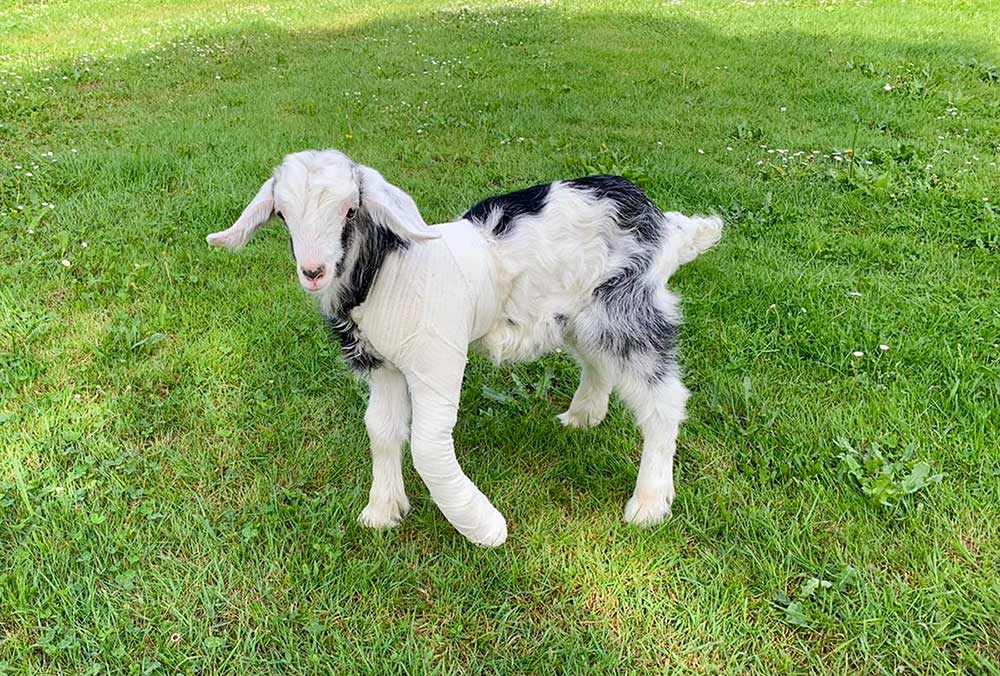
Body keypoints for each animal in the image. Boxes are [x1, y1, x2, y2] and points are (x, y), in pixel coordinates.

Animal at [207, 151, 720, 548]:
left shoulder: (434, 359)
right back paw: (582, 416)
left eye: (351, 211)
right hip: (582, 314)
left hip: (629, 309)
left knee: (663, 401)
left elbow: (428, 448)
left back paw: (650, 503)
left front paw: (483, 526)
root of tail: (664, 223)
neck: (385, 272)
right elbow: (382, 430)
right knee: (599, 365)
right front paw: (382, 510)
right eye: (282, 214)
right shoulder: (385, 366)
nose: (313, 271)